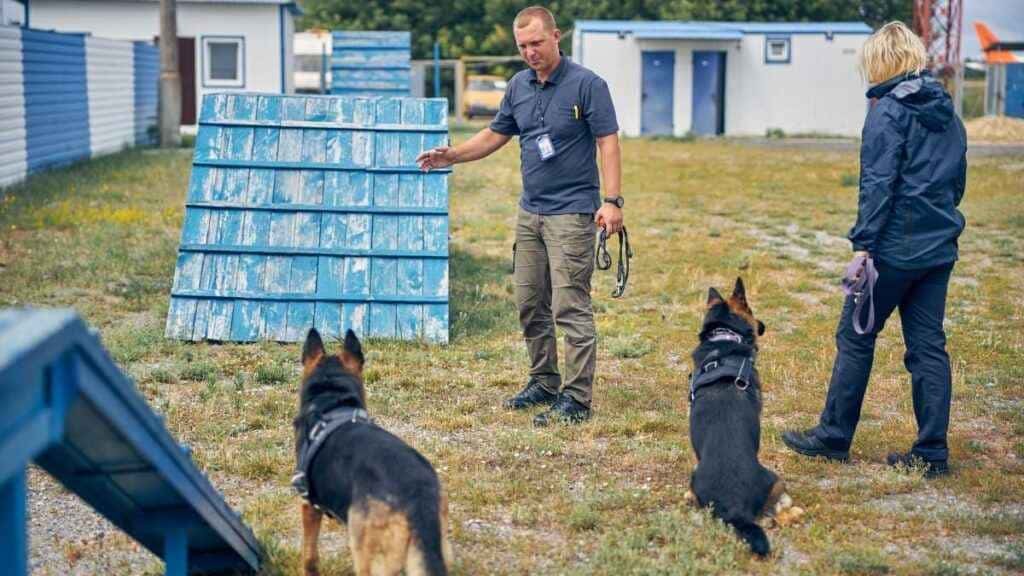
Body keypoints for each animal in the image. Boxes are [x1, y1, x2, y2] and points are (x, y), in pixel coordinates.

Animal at [296, 327, 456, 573]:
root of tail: (417, 498)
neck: (333, 402)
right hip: (438, 553)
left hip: (371, 561)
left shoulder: (309, 506)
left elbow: (309, 557)